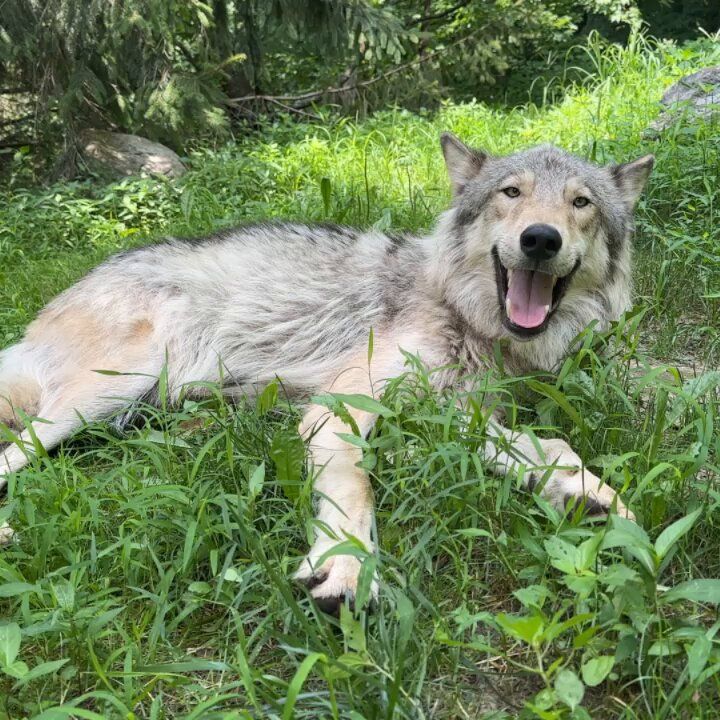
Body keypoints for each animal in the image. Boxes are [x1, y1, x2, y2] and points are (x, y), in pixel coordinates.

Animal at [0, 134, 652, 608]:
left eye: (581, 204)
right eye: (512, 192)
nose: (540, 238)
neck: (466, 318)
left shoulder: (456, 415)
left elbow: (552, 446)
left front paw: (594, 497)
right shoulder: (339, 410)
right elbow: (355, 487)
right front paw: (347, 565)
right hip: (114, 388)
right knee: (15, 451)